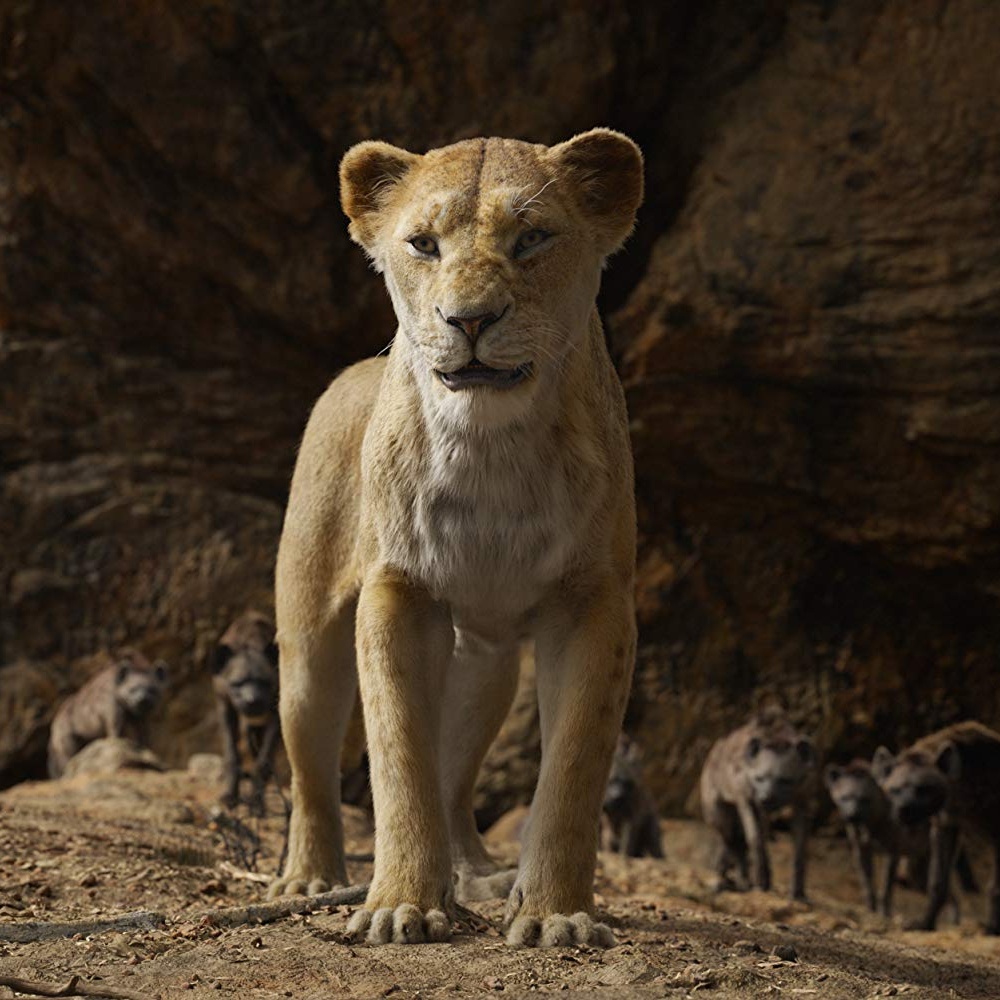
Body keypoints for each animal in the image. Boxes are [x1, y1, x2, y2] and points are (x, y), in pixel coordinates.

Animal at [267, 129, 643, 948]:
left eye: (532, 238)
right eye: (423, 244)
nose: (469, 320)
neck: (489, 444)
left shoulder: (593, 599)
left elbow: (574, 766)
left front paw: (555, 914)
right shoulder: (399, 591)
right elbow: (397, 755)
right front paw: (401, 904)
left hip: (490, 662)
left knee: (456, 774)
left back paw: (472, 874)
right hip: (308, 640)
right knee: (311, 766)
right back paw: (311, 877)